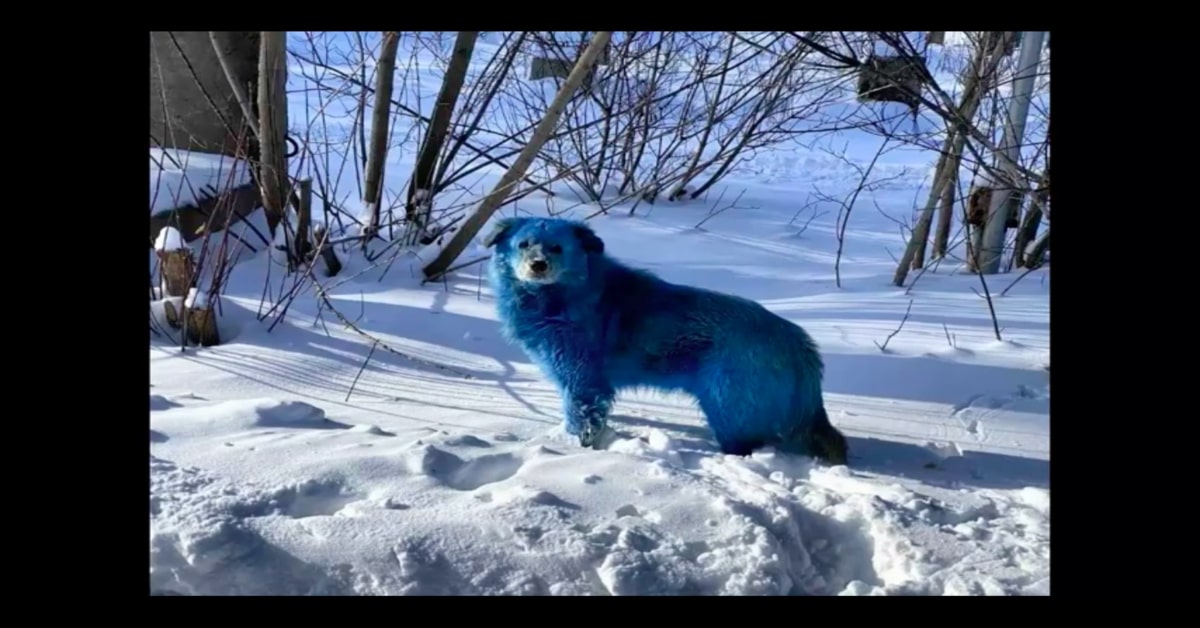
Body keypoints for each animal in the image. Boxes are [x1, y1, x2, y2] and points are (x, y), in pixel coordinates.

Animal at [482, 216, 849, 465]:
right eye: (523, 244)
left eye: (557, 247)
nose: (538, 265)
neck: (562, 296)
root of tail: (798, 343)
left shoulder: (582, 380)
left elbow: (581, 417)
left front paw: (571, 448)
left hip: (726, 406)